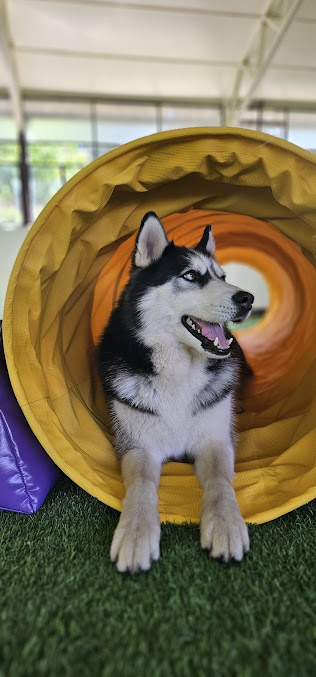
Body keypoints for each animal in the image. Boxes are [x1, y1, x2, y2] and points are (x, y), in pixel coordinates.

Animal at [97, 211, 253, 572]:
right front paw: (136, 533)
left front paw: (225, 524)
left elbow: (220, 481)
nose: (248, 299)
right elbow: (141, 484)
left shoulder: (215, 441)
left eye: (223, 277)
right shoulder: (137, 445)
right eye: (191, 275)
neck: (180, 371)